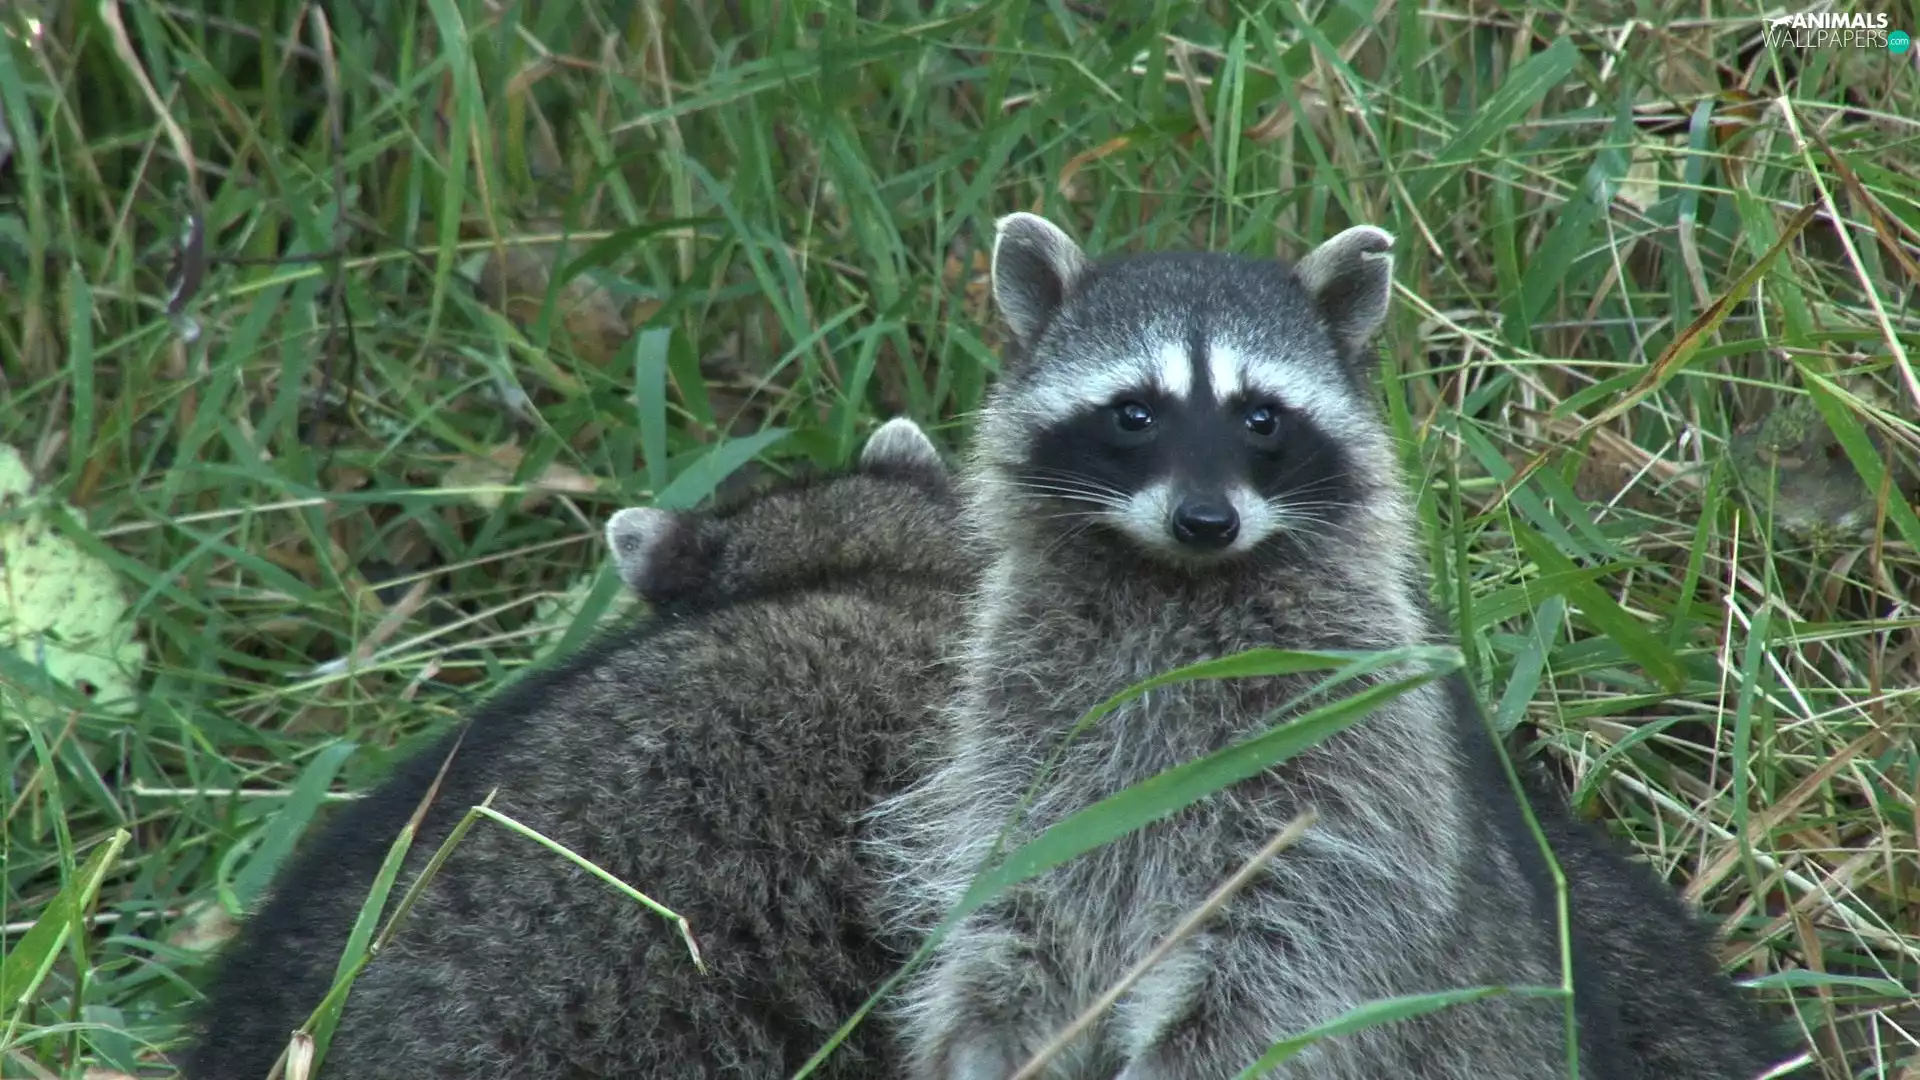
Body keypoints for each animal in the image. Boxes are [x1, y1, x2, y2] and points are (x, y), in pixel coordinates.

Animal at [869, 215, 1791, 1080]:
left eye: (1261, 417)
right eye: (1134, 413)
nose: (1206, 520)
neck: (1180, 582)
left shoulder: (1354, 739)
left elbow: (1302, 945)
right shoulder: (1023, 724)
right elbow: (1014, 905)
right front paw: (988, 1032)